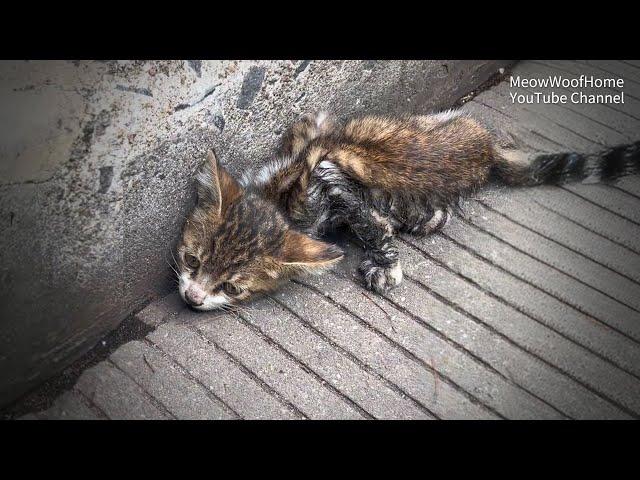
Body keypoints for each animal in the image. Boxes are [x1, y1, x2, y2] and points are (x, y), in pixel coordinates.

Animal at [176, 110, 640, 310]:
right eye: (191, 259)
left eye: (234, 287)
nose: (193, 296)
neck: (279, 197)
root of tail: (488, 149)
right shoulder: (309, 141)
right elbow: (309, 128)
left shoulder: (337, 189)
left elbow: (374, 228)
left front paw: (387, 268)